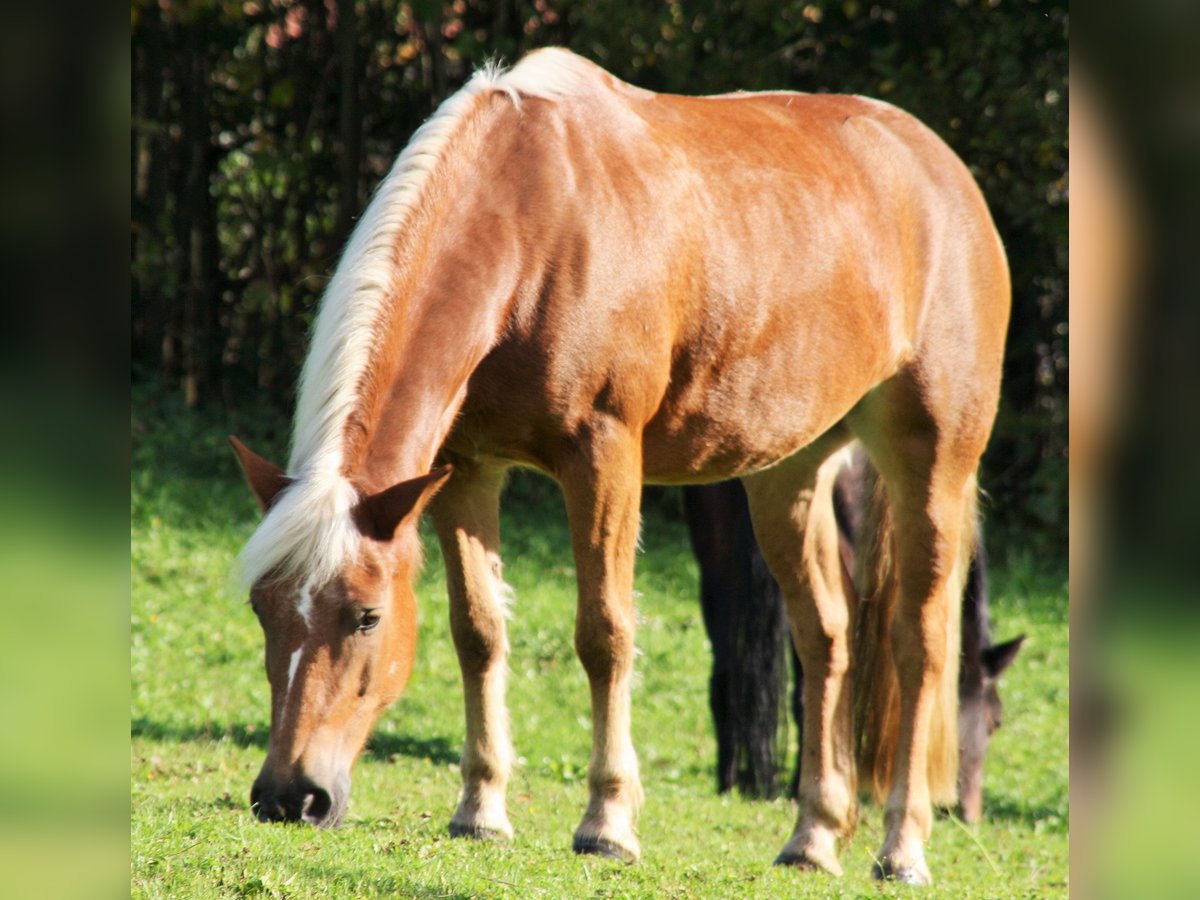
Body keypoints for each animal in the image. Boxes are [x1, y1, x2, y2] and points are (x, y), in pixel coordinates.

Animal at [229, 49, 1008, 888]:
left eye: (367, 616)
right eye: (262, 609)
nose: (290, 796)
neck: (529, 223)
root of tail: (944, 172)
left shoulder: (602, 457)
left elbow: (604, 634)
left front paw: (606, 823)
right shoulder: (465, 470)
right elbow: (477, 632)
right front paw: (481, 811)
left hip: (931, 462)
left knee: (919, 642)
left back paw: (902, 847)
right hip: (788, 473)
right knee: (826, 637)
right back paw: (814, 836)